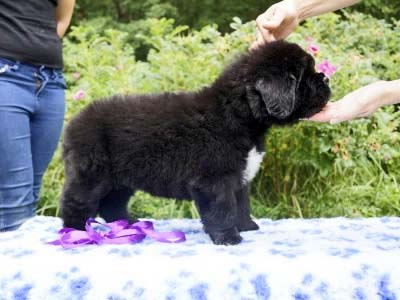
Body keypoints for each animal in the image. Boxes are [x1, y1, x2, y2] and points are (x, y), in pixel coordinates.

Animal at [60, 41, 328, 245]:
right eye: (303, 77)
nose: (325, 78)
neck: (237, 115)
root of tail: (73, 122)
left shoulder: (239, 177)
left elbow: (241, 203)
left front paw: (247, 226)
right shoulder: (215, 179)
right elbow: (223, 208)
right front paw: (228, 237)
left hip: (121, 179)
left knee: (112, 204)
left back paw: (129, 224)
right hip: (91, 174)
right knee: (76, 202)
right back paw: (76, 233)